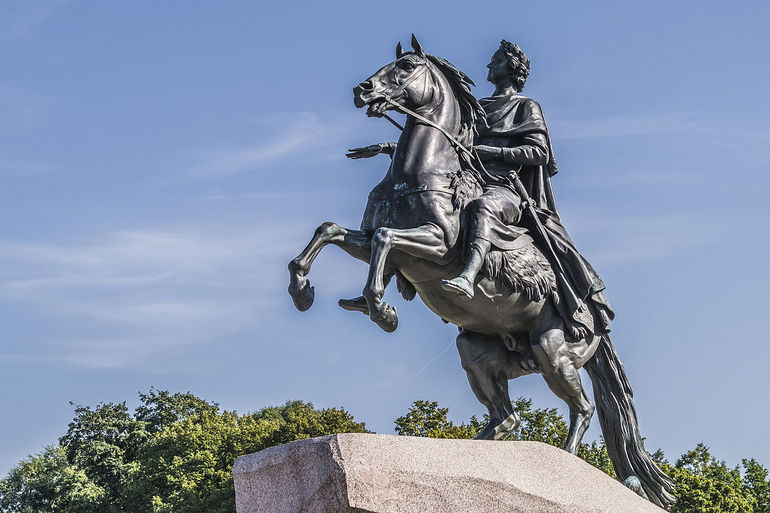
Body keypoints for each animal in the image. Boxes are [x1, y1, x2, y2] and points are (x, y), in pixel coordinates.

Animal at [286, 37, 672, 508]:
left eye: (406, 66)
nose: (363, 90)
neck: (419, 173)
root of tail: (599, 321)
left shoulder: (435, 245)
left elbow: (386, 240)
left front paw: (382, 310)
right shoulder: (372, 240)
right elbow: (331, 231)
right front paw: (304, 290)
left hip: (553, 350)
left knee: (581, 409)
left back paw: (566, 462)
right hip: (476, 351)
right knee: (507, 418)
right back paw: (475, 450)